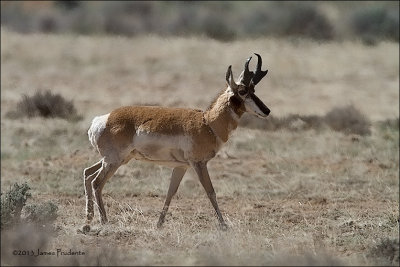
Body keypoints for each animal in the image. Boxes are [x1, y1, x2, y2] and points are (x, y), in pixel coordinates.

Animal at [83, 53, 270, 231]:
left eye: (253, 89)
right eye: (243, 91)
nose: (267, 111)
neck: (207, 122)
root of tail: (102, 119)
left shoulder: (181, 166)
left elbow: (170, 193)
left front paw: (159, 224)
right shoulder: (199, 164)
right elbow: (210, 192)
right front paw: (224, 225)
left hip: (119, 160)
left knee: (87, 173)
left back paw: (88, 221)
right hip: (113, 161)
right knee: (96, 183)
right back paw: (104, 221)